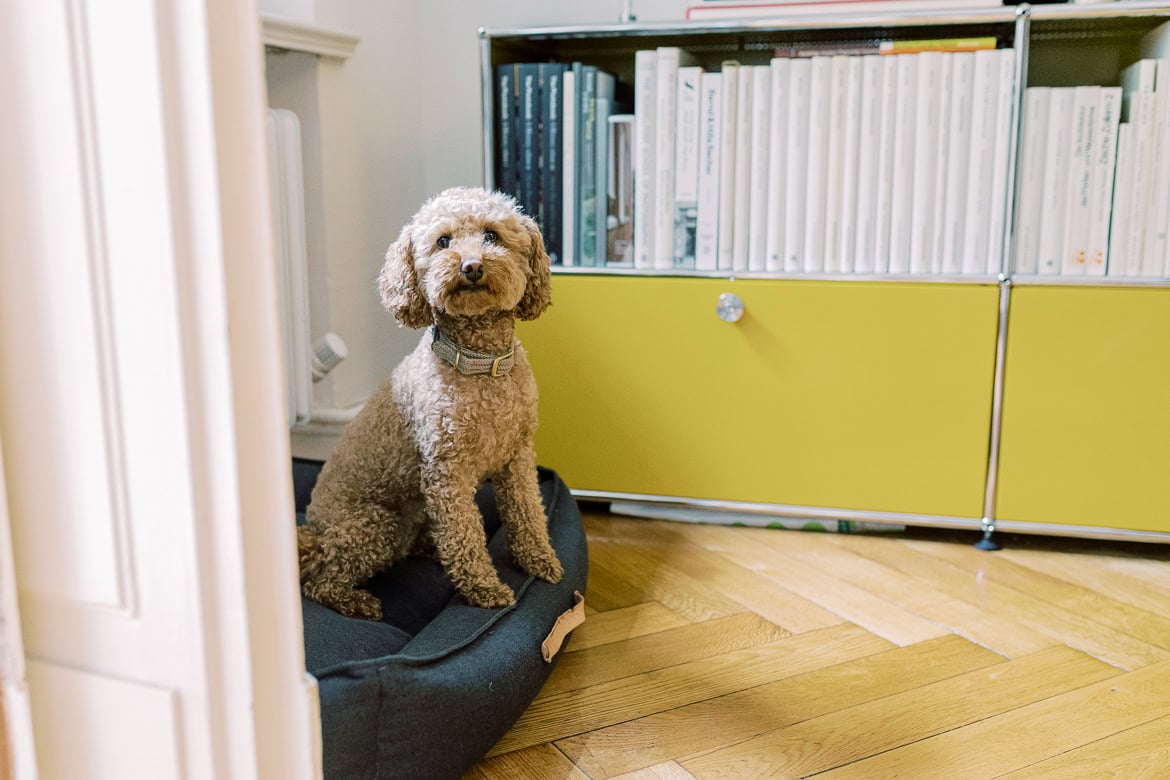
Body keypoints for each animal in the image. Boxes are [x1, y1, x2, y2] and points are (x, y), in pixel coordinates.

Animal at [297, 185, 561, 617]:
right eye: (442, 242)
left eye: (492, 235)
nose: (471, 266)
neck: (480, 364)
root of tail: (312, 530)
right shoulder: (447, 472)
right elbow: (465, 535)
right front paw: (485, 588)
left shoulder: (518, 456)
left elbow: (528, 511)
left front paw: (539, 559)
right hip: (373, 524)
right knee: (320, 579)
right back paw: (356, 600)